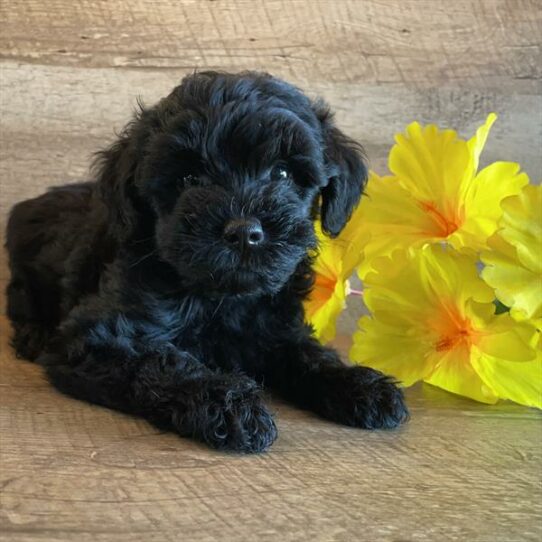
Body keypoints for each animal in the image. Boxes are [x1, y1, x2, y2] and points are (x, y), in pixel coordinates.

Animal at [7, 72, 408, 454]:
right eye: (189, 178)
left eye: (282, 174)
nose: (244, 231)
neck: (223, 298)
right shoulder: (93, 338)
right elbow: (159, 361)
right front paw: (229, 404)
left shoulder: (277, 329)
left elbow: (308, 354)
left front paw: (361, 385)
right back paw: (33, 334)